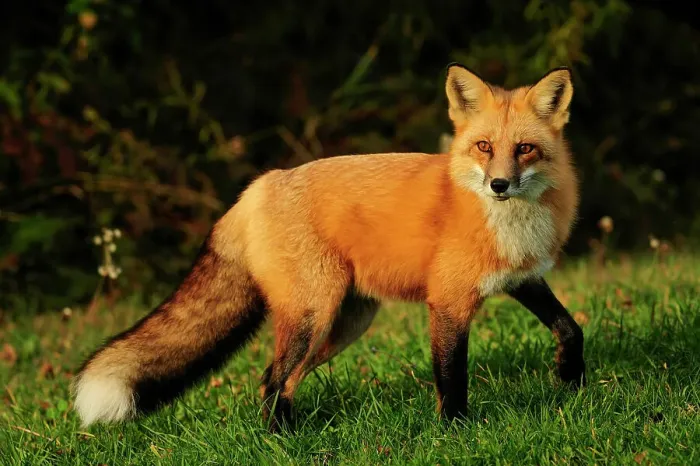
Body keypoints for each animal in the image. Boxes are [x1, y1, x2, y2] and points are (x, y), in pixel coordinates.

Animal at [73, 63, 585, 431]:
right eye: (483, 147)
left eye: (524, 149)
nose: (499, 185)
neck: (507, 223)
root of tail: (257, 187)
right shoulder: (449, 301)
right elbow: (451, 380)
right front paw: (455, 433)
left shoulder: (521, 277)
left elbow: (570, 328)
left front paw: (572, 382)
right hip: (313, 315)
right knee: (275, 380)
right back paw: (280, 443)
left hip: (344, 324)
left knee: (276, 381)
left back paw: (290, 434)